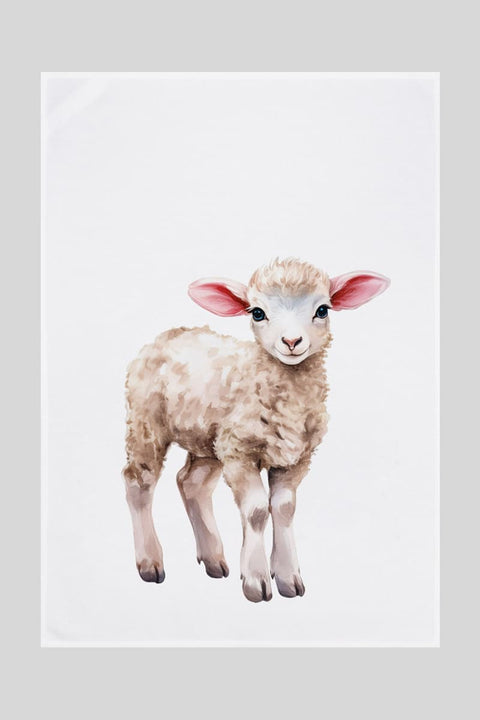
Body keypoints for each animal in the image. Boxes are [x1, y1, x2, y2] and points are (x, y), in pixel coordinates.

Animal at [123, 258, 390, 602]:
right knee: (138, 482)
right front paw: (256, 580)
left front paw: (288, 578)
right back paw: (150, 562)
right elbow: (258, 511)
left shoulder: (295, 458)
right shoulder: (241, 452)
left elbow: (284, 509)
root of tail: (169, 334)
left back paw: (213, 558)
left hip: (208, 441)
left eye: (322, 310)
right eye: (258, 313)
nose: (291, 342)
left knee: (191, 484)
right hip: (147, 423)